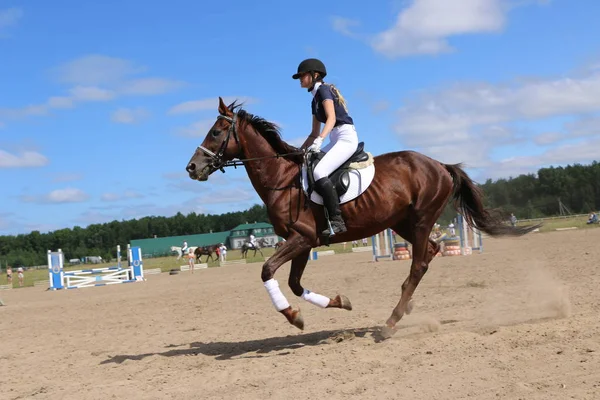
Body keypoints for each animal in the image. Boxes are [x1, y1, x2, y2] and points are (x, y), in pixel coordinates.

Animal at [183, 97, 540, 338]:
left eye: (216, 132)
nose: (191, 167)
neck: (281, 179)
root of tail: (440, 164)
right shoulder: (303, 242)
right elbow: (295, 284)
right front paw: (338, 303)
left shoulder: (301, 238)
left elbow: (267, 270)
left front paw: (292, 315)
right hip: (401, 223)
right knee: (430, 252)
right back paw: (405, 308)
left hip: (421, 219)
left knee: (419, 263)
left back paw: (391, 322)